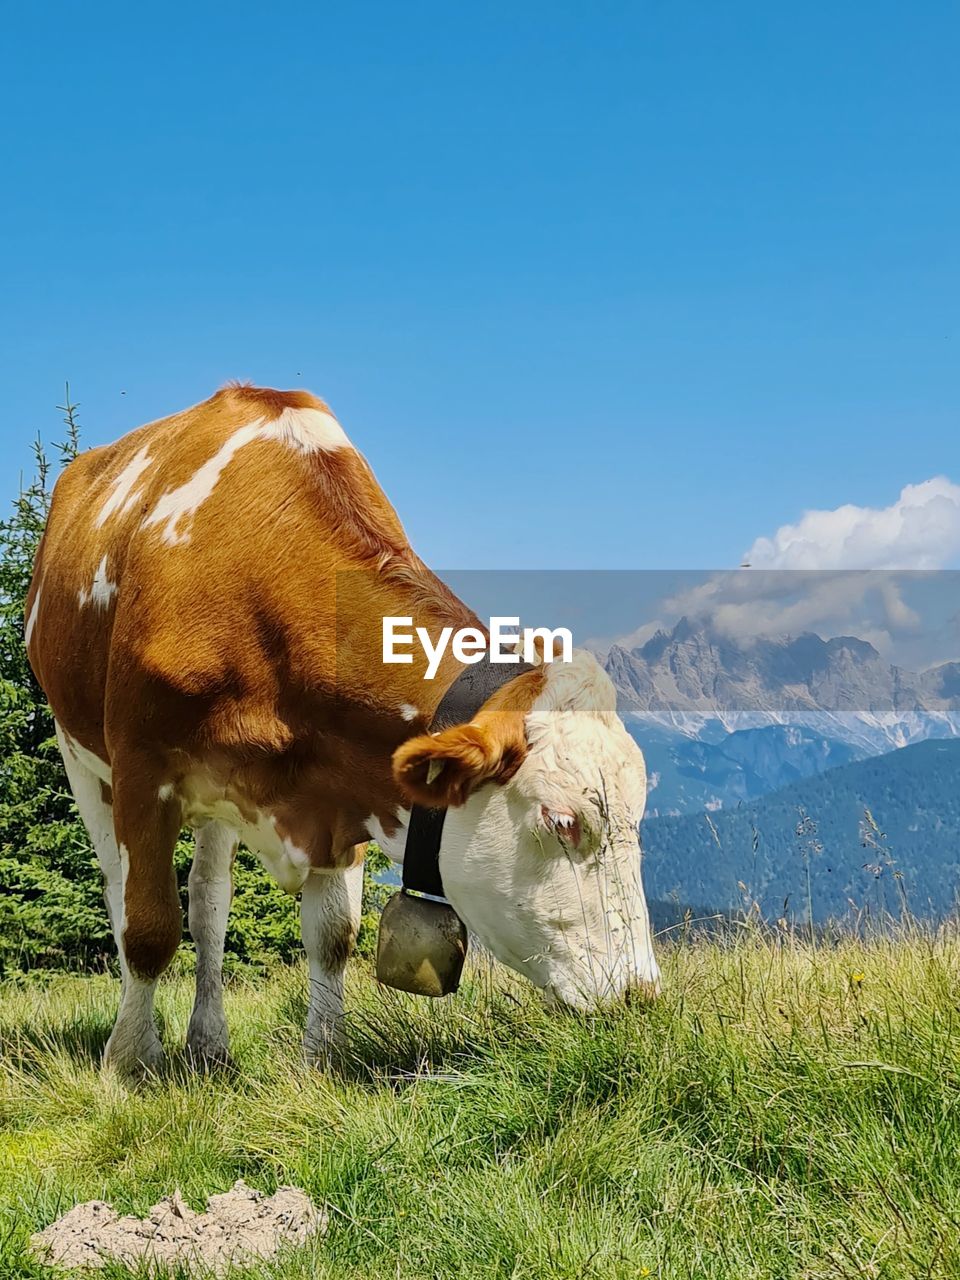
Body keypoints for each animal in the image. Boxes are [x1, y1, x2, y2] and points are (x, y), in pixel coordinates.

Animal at [24, 384, 660, 1075]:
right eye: (562, 821)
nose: (641, 995)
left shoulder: (341, 782)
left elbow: (332, 933)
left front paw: (323, 1059)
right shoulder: (143, 766)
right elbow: (147, 929)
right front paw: (130, 1065)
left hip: (217, 798)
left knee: (209, 902)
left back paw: (209, 1042)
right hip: (80, 753)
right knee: (121, 894)